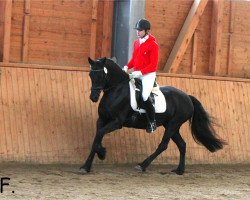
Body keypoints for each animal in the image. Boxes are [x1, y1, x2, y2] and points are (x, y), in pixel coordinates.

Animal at [79, 57, 225, 174]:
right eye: (90, 75)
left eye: (101, 75)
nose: (93, 97)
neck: (116, 90)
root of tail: (187, 97)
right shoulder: (102, 119)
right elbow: (97, 137)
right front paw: (96, 158)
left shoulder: (117, 122)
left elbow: (100, 134)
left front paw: (91, 162)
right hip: (172, 126)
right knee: (182, 145)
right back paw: (179, 170)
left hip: (173, 124)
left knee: (163, 145)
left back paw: (142, 165)